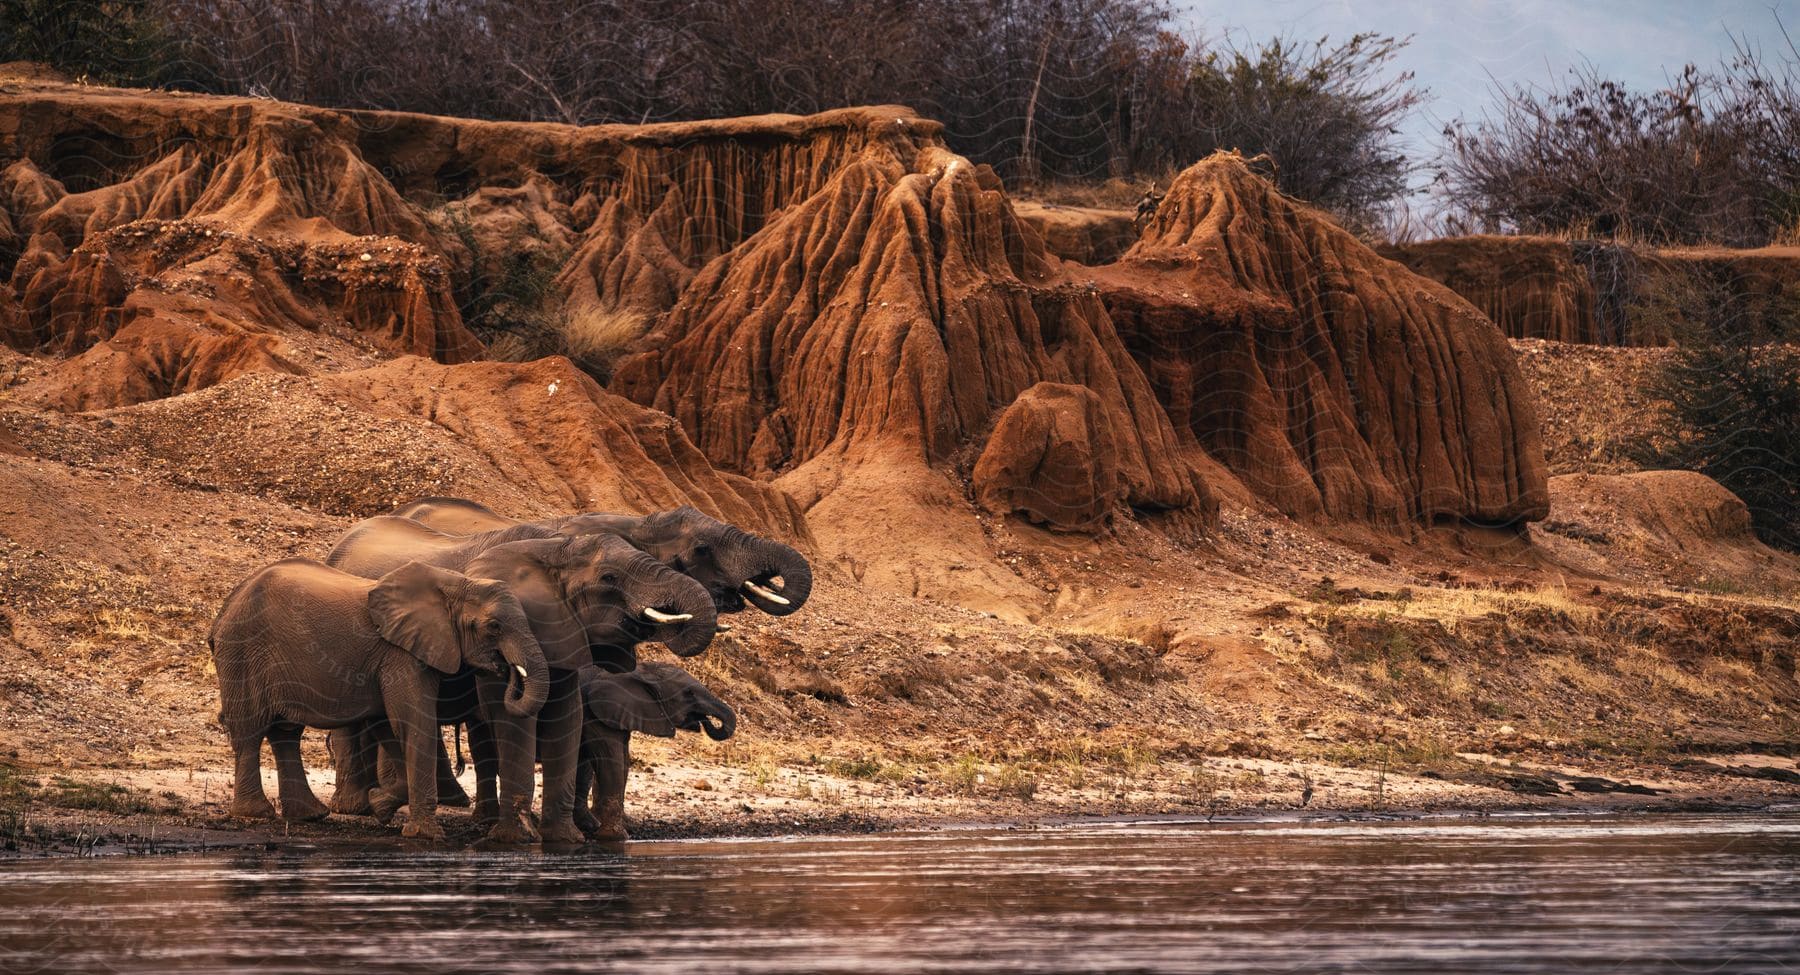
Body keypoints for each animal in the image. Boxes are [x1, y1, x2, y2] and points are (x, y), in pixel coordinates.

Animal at [206, 561, 543, 845]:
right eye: (494, 626)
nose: (507, 670)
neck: (456, 583)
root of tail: (225, 609)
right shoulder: (401, 654)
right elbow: (412, 722)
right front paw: (426, 835)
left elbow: (390, 726)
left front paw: (380, 806)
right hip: (242, 651)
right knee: (250, 731)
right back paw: (256, 813)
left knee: (284, 733)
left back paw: (311, 814)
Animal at [324, 518, 716, 849]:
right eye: (609, 578)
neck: (554, 548)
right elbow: (514, 720)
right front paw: (516, 839)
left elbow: (566, 717)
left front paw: (563, 840)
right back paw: (355, 808)